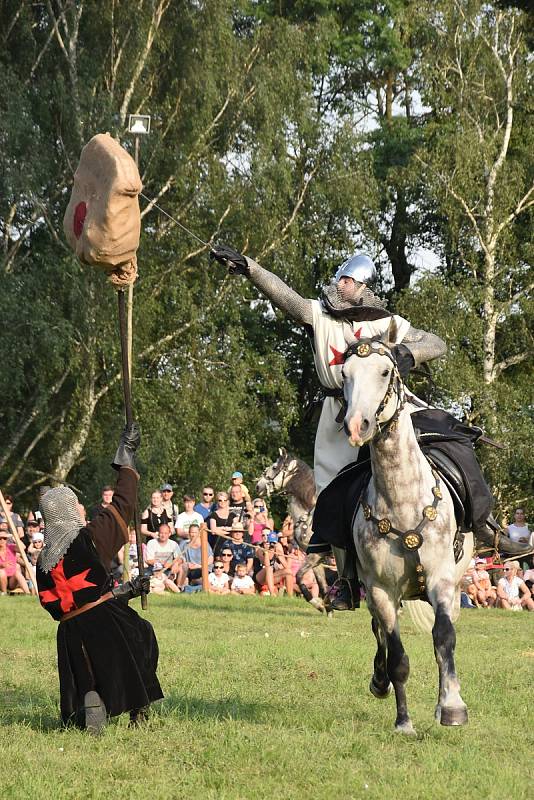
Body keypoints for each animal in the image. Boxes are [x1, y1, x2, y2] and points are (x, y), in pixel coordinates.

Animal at [344, 322, 474, 736]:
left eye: (386, 372)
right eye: (344, 375)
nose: (357, 425)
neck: (402, 500)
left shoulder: (441, 580)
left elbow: (444, 638)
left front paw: (452, 707)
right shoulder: (381, 590)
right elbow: (397, 655)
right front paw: (403, 721)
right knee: (380, 633)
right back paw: (379, 680)